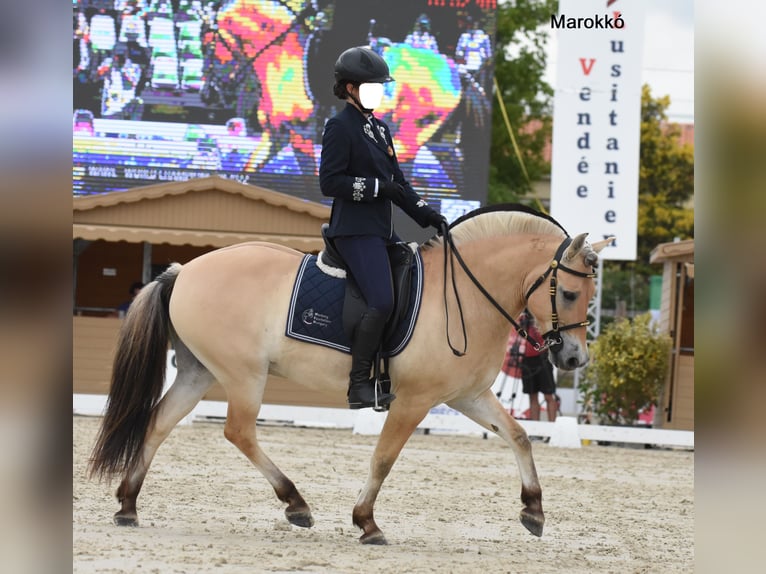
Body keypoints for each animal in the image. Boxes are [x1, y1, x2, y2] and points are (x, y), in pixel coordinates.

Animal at [90, 205, 616, 548]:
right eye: (570, 294)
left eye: (591, 296)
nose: (573, 359)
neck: (466, 293)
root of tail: (184, 269)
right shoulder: (413, 400)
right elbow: (383, 458)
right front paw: (367, 522)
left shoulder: (467, 395)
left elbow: (519, 436)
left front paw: (534, 510)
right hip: (243, 374)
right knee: (238, 431)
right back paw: (296, 503)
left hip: (200, 372)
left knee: (159, 423)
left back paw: (128, 505)